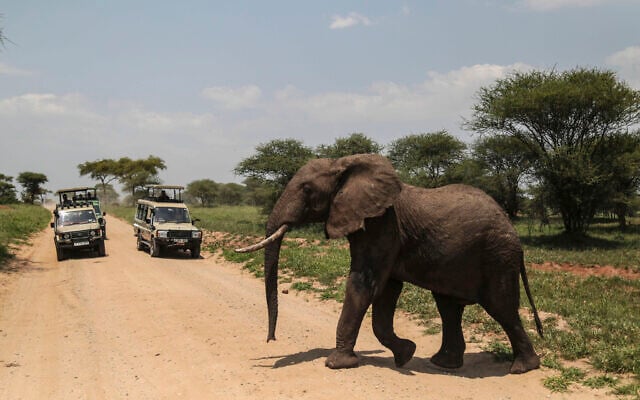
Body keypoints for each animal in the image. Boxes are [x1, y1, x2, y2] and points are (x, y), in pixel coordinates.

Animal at [236, 153, 543, 374]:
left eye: (307, 189)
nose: (271, 339)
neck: (344, 165)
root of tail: (511, 227)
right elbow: (385, 292)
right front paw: (405, 354)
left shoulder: (383, 225)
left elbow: (365, 285)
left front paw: (337, 365)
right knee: (448, 307)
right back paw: (443, 364)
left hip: (497, 256)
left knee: (501, 307)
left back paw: (522, 368)